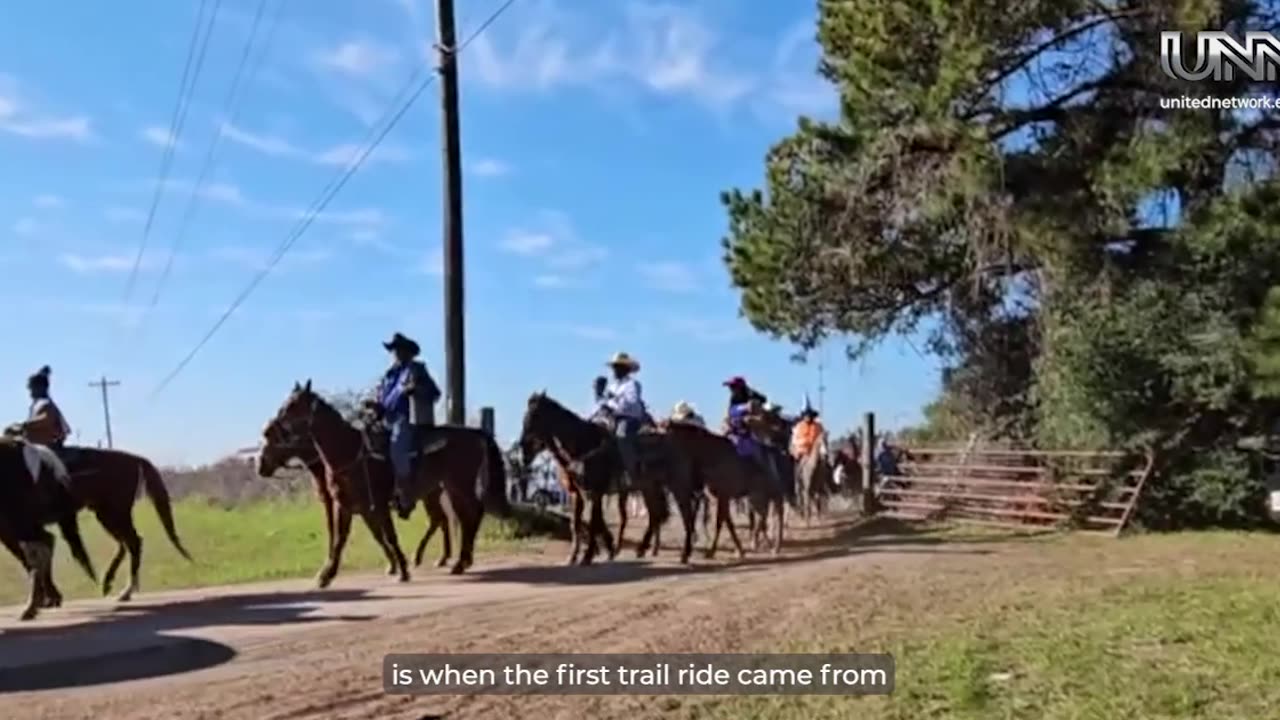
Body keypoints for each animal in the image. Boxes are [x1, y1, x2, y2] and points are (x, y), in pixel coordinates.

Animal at [0, 435, 94, 620]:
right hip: (11, 527)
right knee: (39, 548)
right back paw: (45, 600)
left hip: (17, 522)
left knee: (42, 544)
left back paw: (33, 605)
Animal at [254, 415, 455, 571]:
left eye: (274, 438)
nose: (261, 466)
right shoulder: (357, 508)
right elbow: (375, 535)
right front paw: (393, 565)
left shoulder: (356, 506)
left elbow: (349, 533)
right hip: (431, 494)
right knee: (440, 520)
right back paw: (439, 557)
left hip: (430, 495)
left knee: (438, 519)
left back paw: (427, 557)